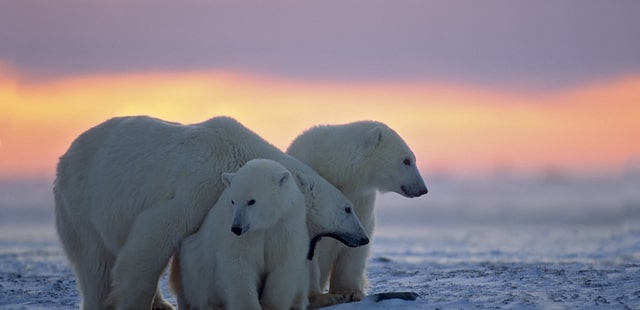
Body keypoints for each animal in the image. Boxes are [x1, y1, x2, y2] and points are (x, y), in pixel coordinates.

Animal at [170, 159, 310, 310]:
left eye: (251, 201)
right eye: (233, 201)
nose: (236, 228)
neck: (264, 225)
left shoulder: (285, 223)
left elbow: (284, 263)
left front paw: (270, 305)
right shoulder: (236, 230)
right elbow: (238, 262)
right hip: (195, 261)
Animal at [288, 121, 428, 306]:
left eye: (413, 158)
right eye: (406, 160)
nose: (423, 189)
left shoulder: (360, 199)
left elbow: (356, 240)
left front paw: (349, 292)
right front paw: (321, 297)